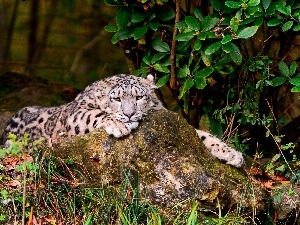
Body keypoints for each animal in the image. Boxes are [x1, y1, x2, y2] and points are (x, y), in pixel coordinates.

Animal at [2, 74, 244, 167]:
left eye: (139, 97)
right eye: (117, 98)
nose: (128, 114)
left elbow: (200, 134)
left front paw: (231, 153)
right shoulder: (76, 113)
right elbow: (94, 114)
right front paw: (119, 125)